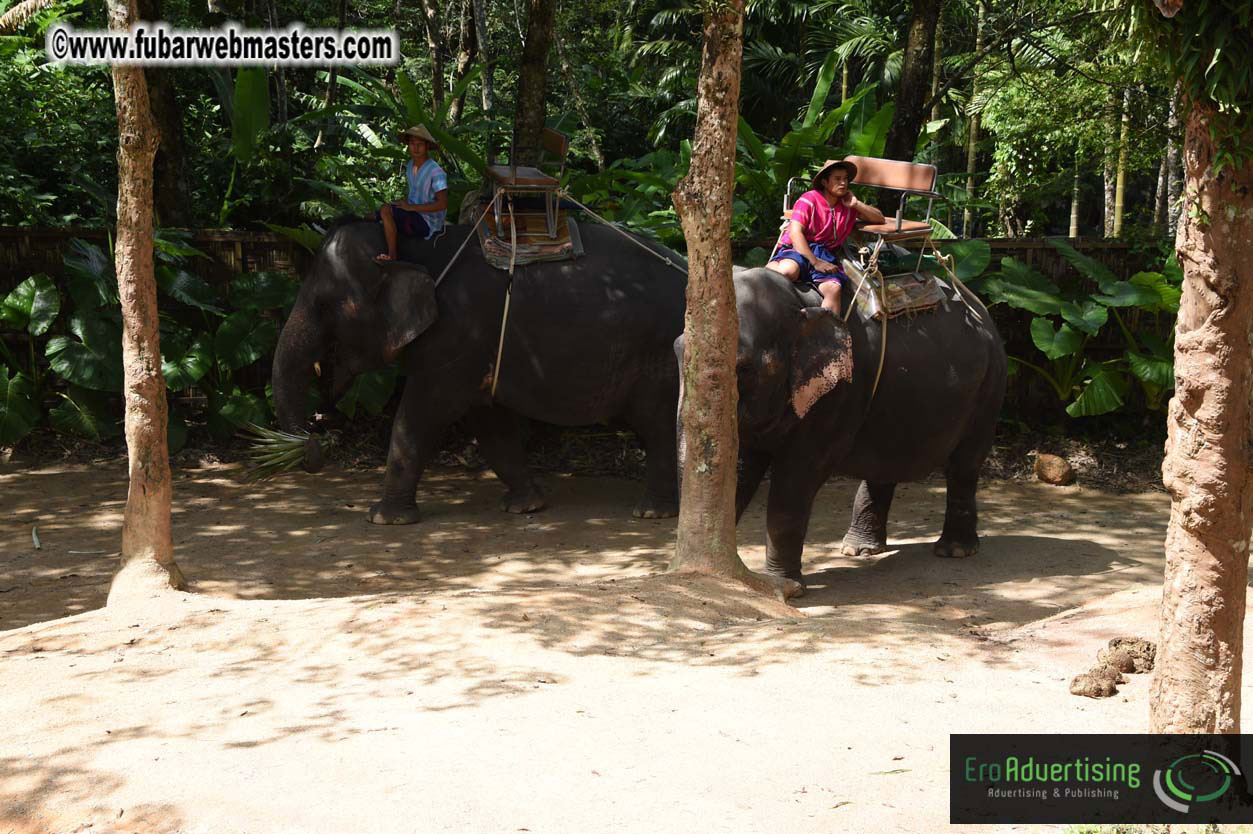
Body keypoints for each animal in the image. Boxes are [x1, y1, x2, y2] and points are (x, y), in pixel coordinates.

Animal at [272, 218, 688, 524]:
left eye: (325, 305)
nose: (314, 437)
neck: (414, 249)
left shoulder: (456, 341)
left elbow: (419, 416)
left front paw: (384, 519)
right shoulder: (479, 351)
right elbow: (489, 423)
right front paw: (526, 506)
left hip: (662, 359)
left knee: (660, 425)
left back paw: (652, 512)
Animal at [675, 266, 1006, 587]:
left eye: (743, 368)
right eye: (678, 351)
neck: (797, 299)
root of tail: (979, 306)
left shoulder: (839, 393)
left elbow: (796, 479)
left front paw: (784, 586)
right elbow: (741, 469)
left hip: (989, 389)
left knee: (964, 464)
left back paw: (954, 550)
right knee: (885, 462)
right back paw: (860, 549)